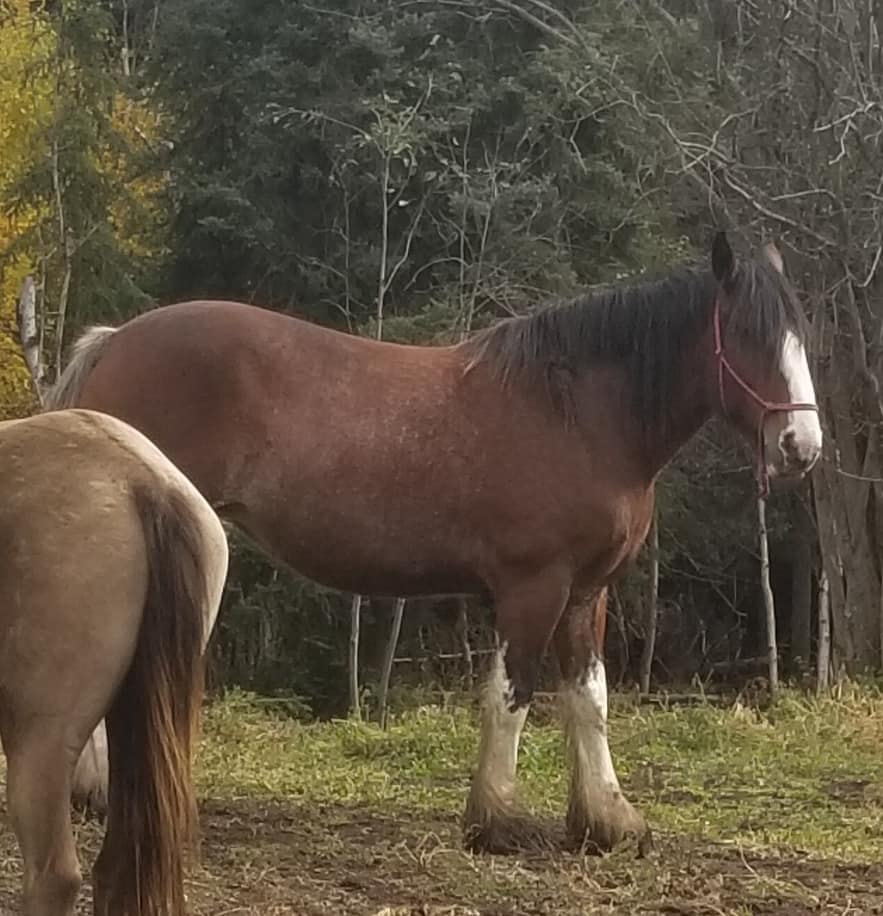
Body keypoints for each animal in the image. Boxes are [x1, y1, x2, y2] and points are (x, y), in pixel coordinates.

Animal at [45, 232, 821, 854]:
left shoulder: (586, 592)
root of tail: (114, 342)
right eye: (746, 332)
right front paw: (498, 822)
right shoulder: (532, 587)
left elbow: (588, 698)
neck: (579, 415)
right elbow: (511, 695)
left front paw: (606, 822)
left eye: (799, 331)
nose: (801, 447)